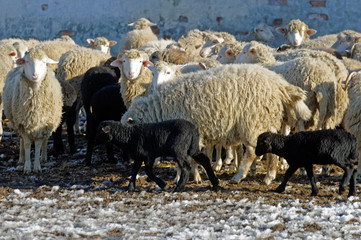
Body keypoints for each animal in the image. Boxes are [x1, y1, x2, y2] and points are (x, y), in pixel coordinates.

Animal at [120, 63, 310, 184]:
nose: (128, 159)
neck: (162, 109)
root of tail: (279, 84)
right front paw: (189, 176)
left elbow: (190, 158)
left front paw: (194, 176)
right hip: (264, 120)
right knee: (270, 149)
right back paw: (269, 177)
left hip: (252, 121)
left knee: (250, 151)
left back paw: (239, 176)